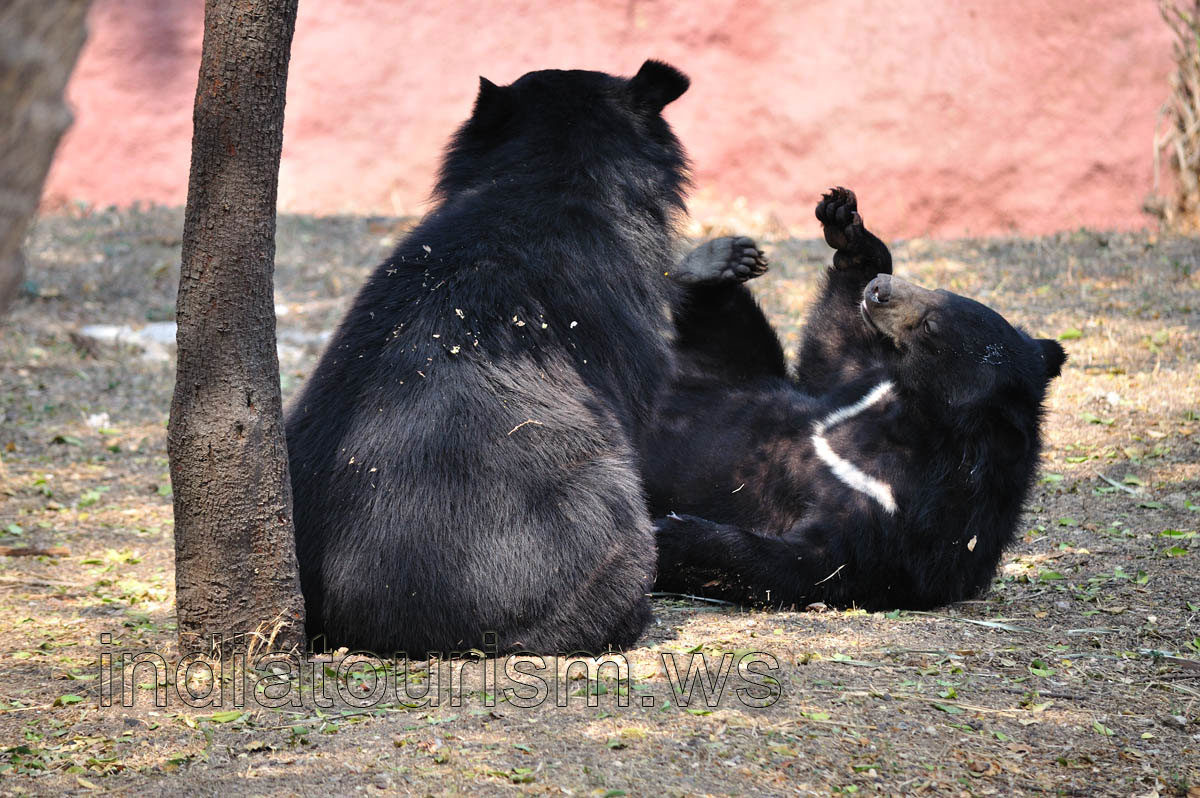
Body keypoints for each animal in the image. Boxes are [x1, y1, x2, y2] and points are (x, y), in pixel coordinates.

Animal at [641, 187, 1066, 610]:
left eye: (930, 326)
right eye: (940, 291)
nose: (879, 289)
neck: (917, 414)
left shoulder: (897, 515)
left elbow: (808, 564)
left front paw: (671, 534)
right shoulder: (862, 386)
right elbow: (834, 349)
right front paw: (847, 225)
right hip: (729, 373)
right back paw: (718, 261)